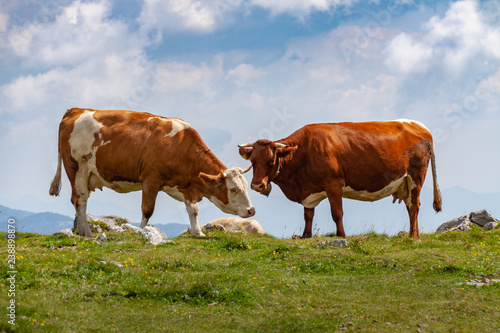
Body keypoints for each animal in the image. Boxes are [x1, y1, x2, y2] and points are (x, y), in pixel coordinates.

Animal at [48, 108, 256, 236]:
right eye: (233, 189)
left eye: (247, 186)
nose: (251, 210)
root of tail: (75, 109)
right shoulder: (151, 179)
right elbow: (147, 210)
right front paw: (142, 232)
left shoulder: (187, 184)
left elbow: (193, 210)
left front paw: (198, 232)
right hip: (77, 168)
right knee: (80, 200)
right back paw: (87, 233)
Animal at [238, 119, 442, 239]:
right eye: (253, 161)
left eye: (271, 161)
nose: (257, 185)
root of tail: (420, 125)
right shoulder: (309, 193)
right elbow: (308, 215)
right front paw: (306, 236)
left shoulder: (333, 183)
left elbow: (337, 213)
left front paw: (341, 236)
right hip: (405, 182)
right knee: (409, 205)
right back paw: (412, 234)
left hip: (416, 177)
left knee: (414, 205)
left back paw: (413, 236)